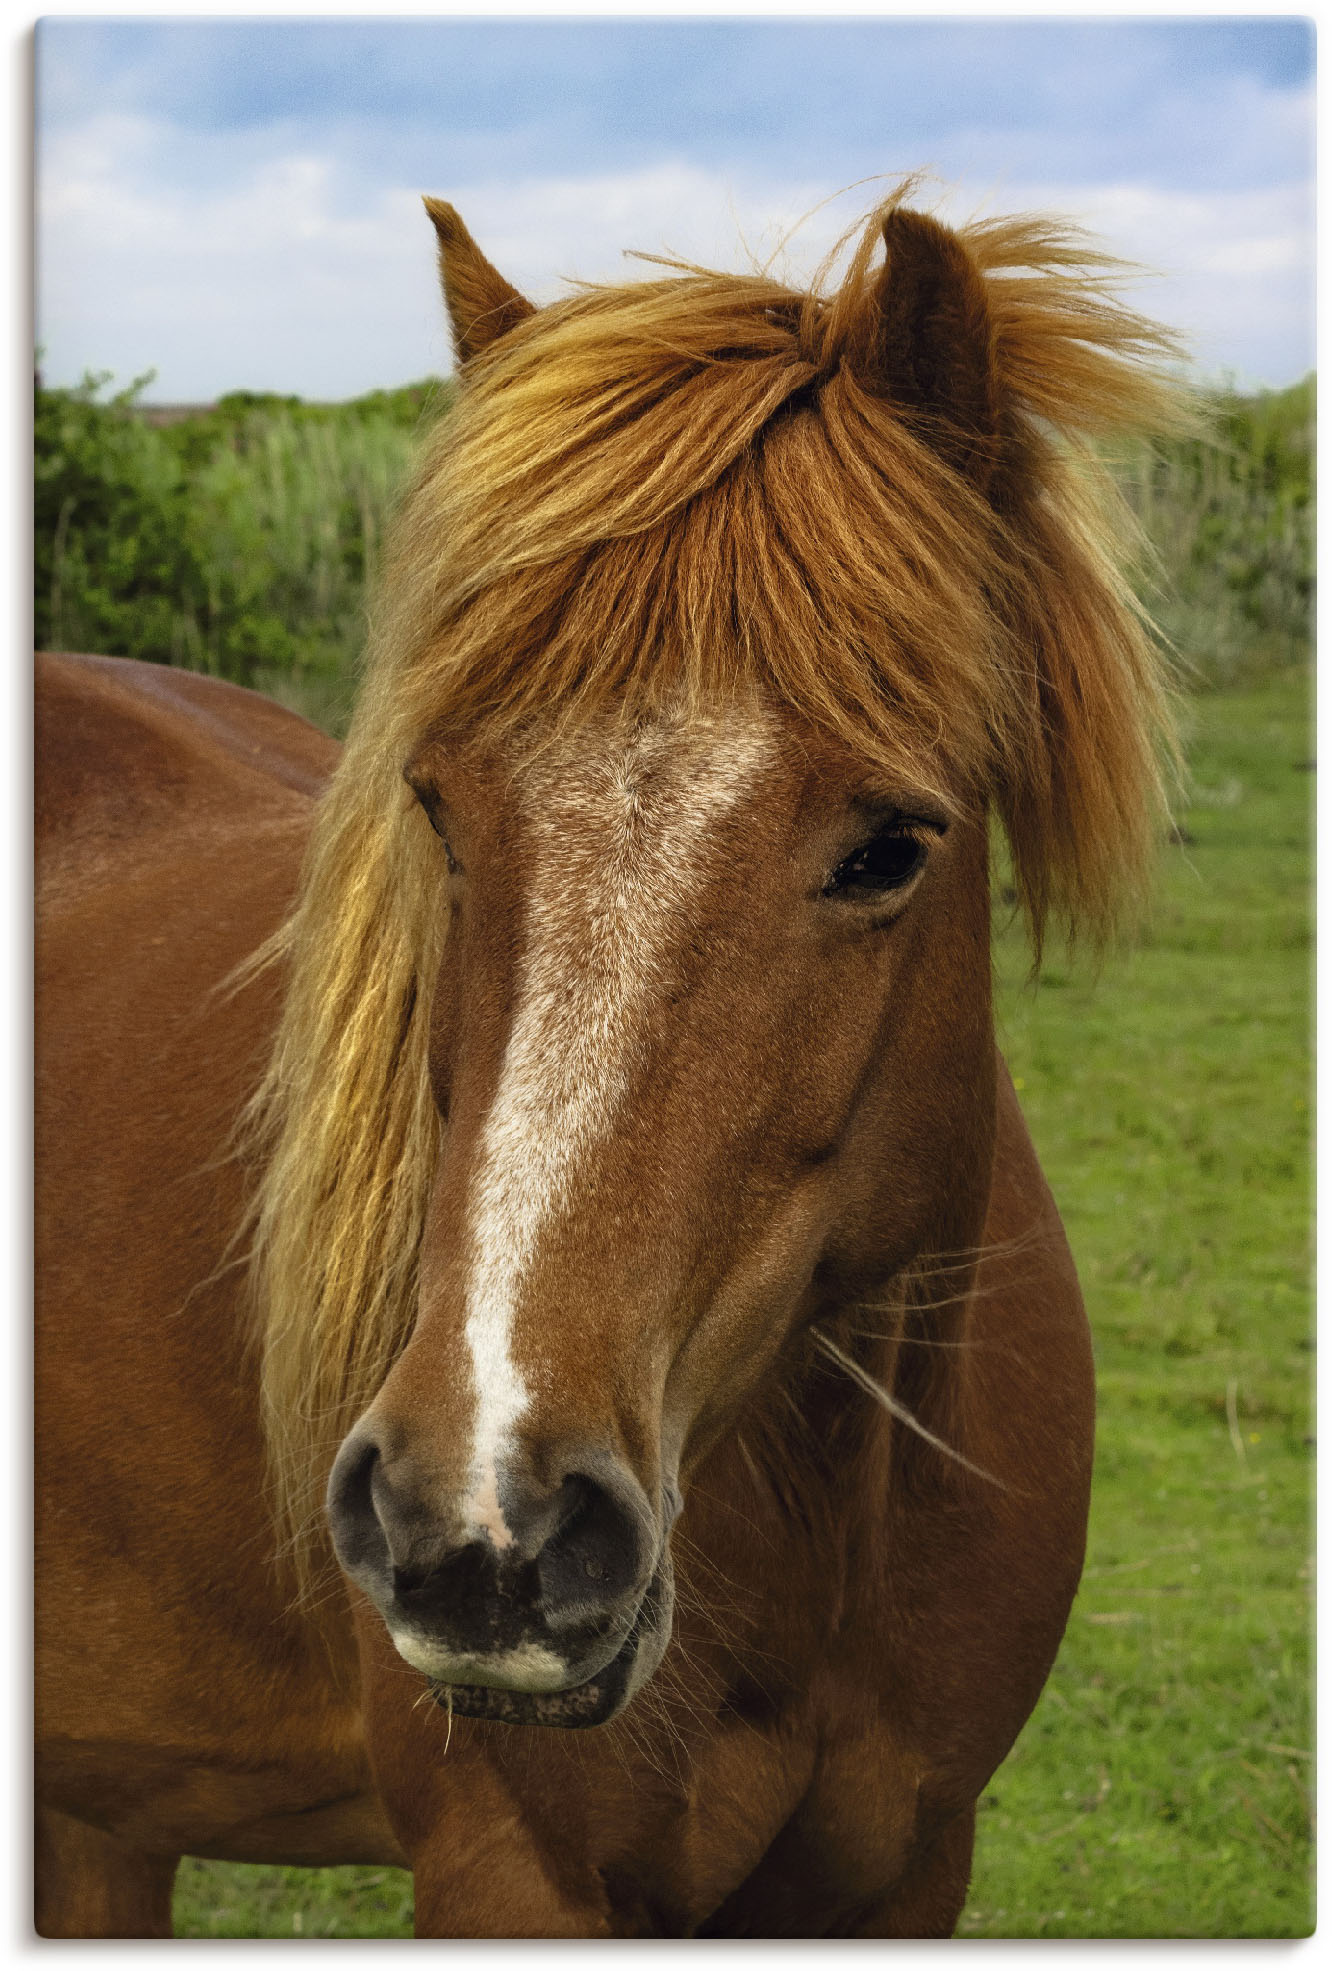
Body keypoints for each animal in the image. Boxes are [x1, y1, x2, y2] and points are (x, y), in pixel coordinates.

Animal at [33, 188, 1190, 1939]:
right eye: (438, 808)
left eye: (890, 847)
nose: (481, 1529)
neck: (825, 1521)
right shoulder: (518, 1872)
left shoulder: (915, 1862)